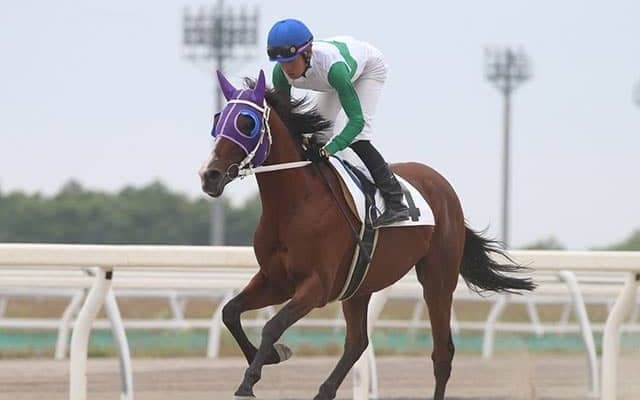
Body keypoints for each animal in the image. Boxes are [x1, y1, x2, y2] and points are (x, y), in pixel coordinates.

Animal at [198, 69, 534, 400]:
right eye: (218, 119)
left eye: (247, 123)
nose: (209, 175)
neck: (295, 206)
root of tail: (443, 185)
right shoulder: (276, 280)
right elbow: (230, 312)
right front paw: (270, 356)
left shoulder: (317, 286)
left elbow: (272, 325)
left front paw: (249, 380)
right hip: (360, 285)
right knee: (358, 342)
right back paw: (324, 391)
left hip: (437, 279)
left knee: (442, 352)